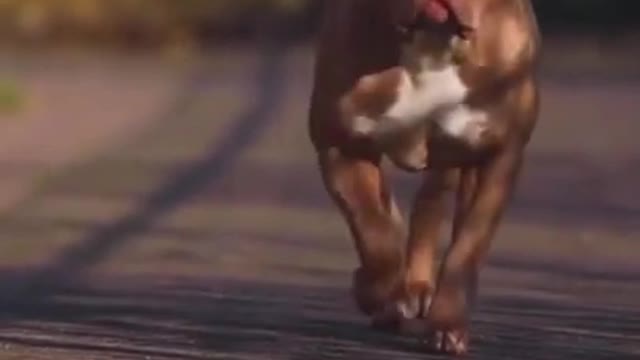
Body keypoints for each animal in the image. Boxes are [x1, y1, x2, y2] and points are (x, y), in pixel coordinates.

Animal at [308, 0, 544, 354]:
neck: (432, 44)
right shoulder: (341, 146)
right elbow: (374, 232)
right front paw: (376, 292)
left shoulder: (495, 157)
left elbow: (466, 249)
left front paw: (447, 326)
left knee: (429, 205)